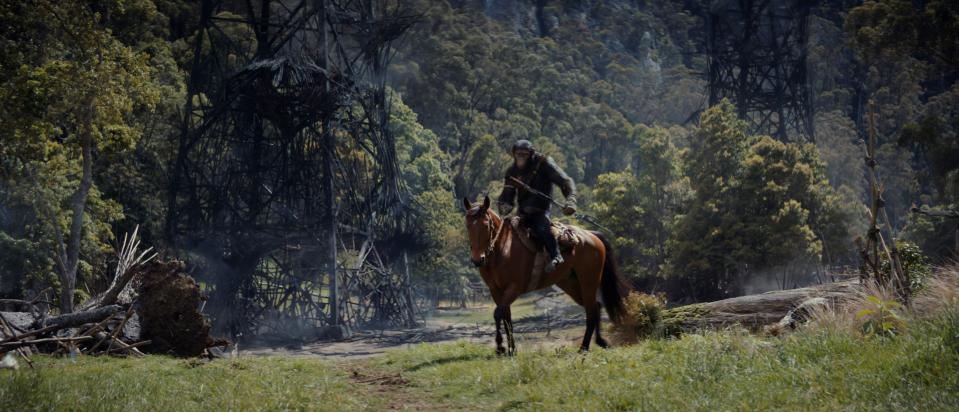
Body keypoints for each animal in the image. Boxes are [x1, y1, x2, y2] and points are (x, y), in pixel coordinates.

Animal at [464, 196, 632, 354]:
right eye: (467, 225)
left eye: (486, 225)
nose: (477, 259)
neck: (502, 249)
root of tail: (592, 236)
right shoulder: (496, 290)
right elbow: (506, 318)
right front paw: (511, 349)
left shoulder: (514, 288)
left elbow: (498, 314)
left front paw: (500, 347)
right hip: (571, 284)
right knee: (595, 307)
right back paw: (600, 341)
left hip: (589, 281)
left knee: (591, 311)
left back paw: (584, 348)